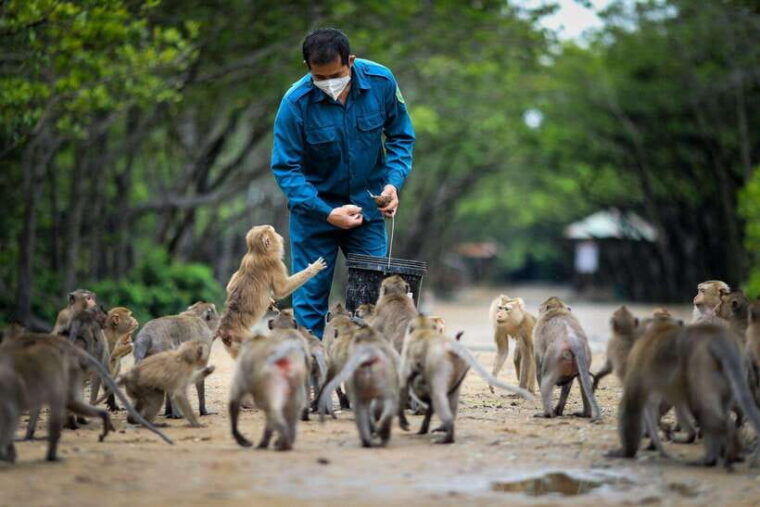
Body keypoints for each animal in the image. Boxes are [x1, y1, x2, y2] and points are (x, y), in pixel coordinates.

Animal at [217, 225, 327, 358]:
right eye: (273, 232)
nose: (280, 236)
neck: (257, 253)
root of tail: (224, 329)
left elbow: (230, 287)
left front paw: (270, 302)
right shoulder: (275, 263)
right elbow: (282, 290)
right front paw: (314, 268)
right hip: (242, 337)